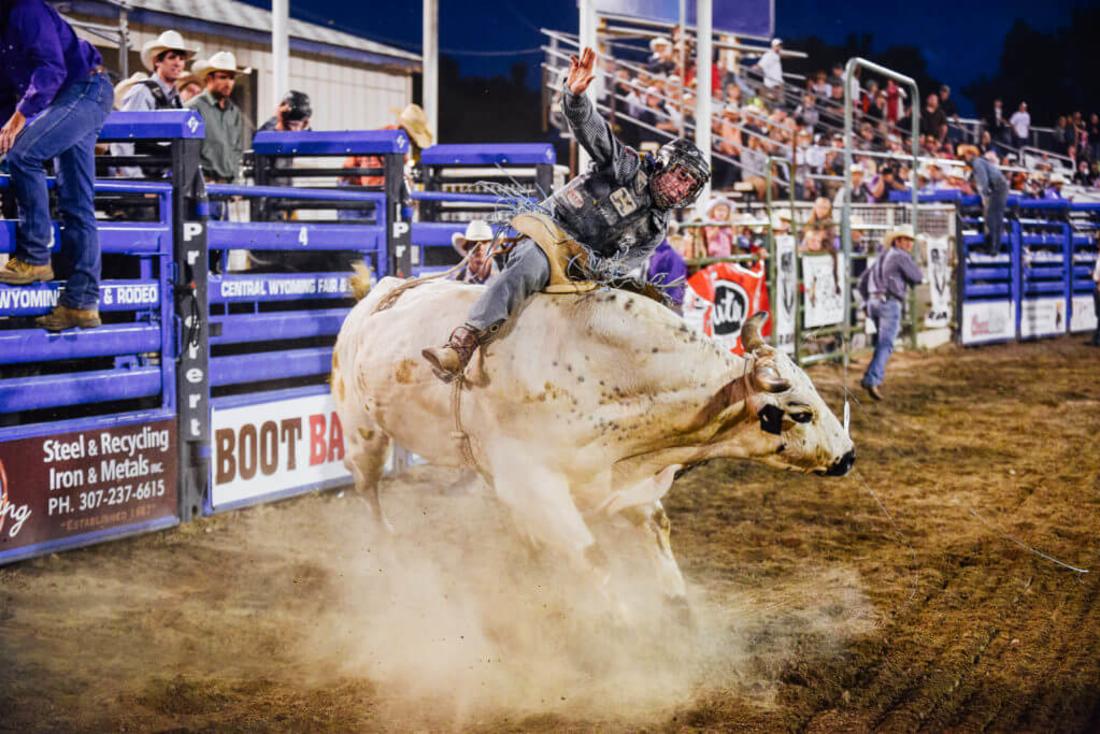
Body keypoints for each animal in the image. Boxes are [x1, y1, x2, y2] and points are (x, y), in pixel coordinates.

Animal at [330, 275, 853, 607]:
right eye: (800, 412)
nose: (848, 456)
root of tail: (378, 293)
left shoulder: (620, 481)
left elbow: (657, 533)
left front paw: (679, 609)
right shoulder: (536, 485)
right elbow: (594, 558)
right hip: (362, 429)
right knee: (368, 489)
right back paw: (388, 549)